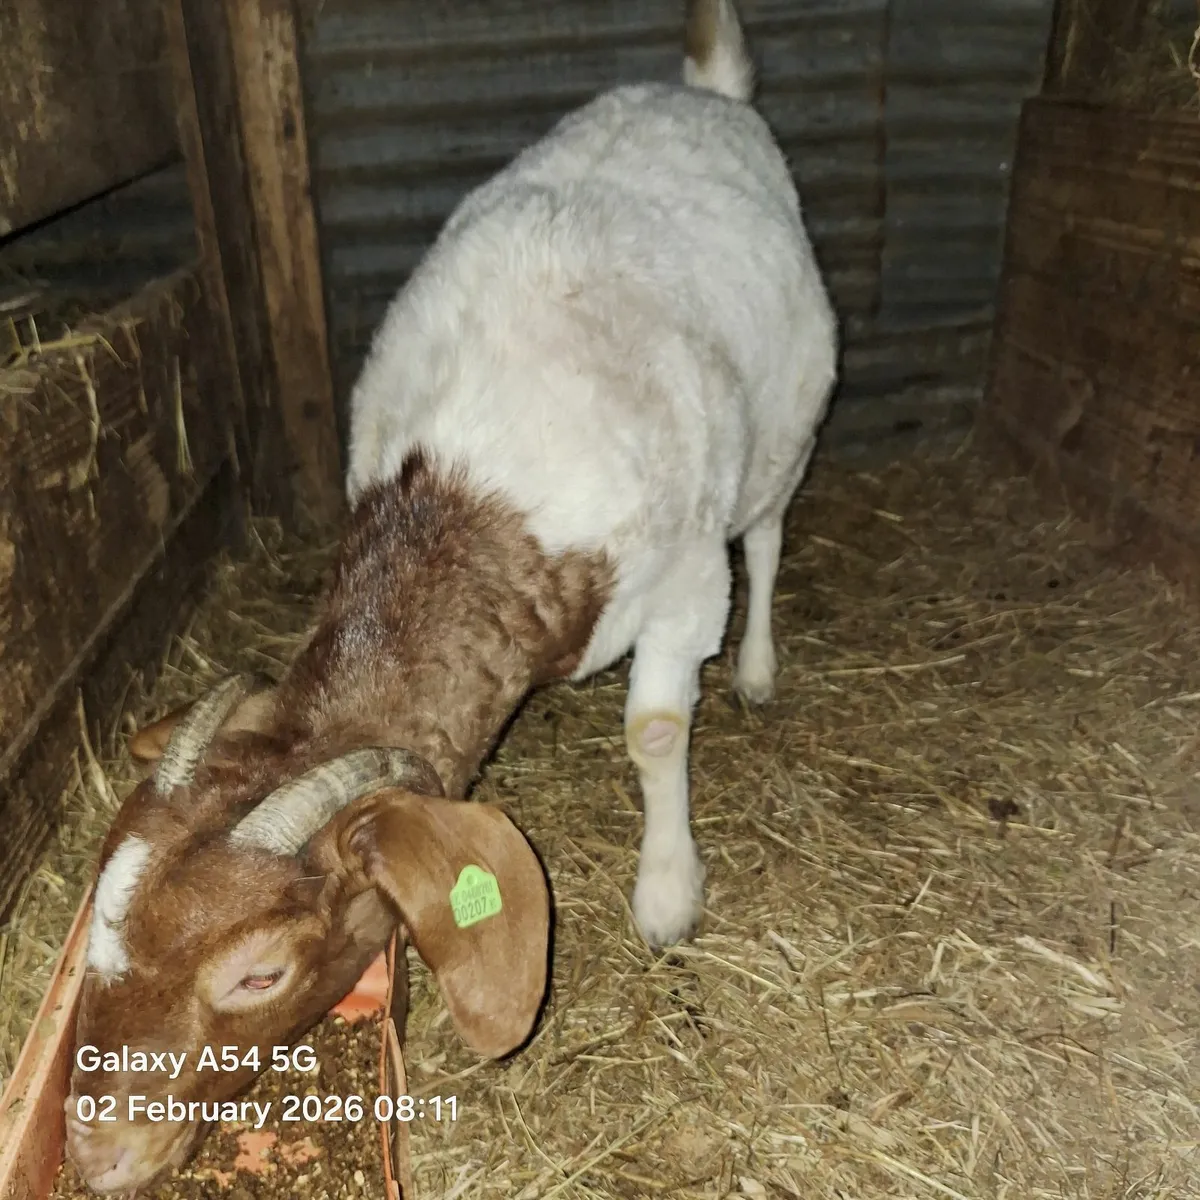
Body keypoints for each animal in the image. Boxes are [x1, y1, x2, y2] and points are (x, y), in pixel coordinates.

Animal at [65, 0, 838, 1190]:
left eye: (258, 973)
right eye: (101, 910)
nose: (95, 1151)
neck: (458, 506)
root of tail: (703, 88)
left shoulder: (681, 578)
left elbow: (659, 731)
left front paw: (668, 893)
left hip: (790, 421)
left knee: (768, 525)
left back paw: (757, 669)